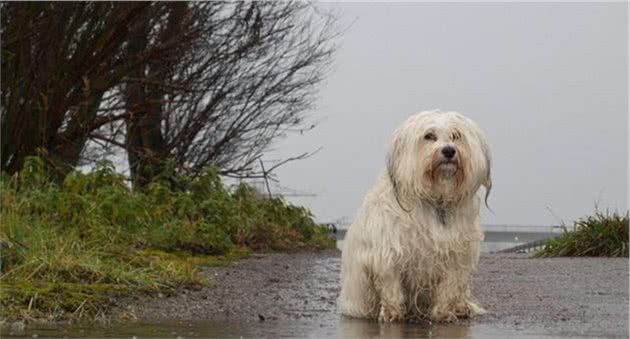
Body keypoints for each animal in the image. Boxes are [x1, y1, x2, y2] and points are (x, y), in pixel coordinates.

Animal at [340, 110, 494, 322]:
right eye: (429, 136)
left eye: (456, 135)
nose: (449, 151)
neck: (436, 200)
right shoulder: (388, 253)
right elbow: (391, 287)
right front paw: (392, 313)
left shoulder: (457, 257)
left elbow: (449, 287)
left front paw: (443, 313)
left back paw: (461, 308)